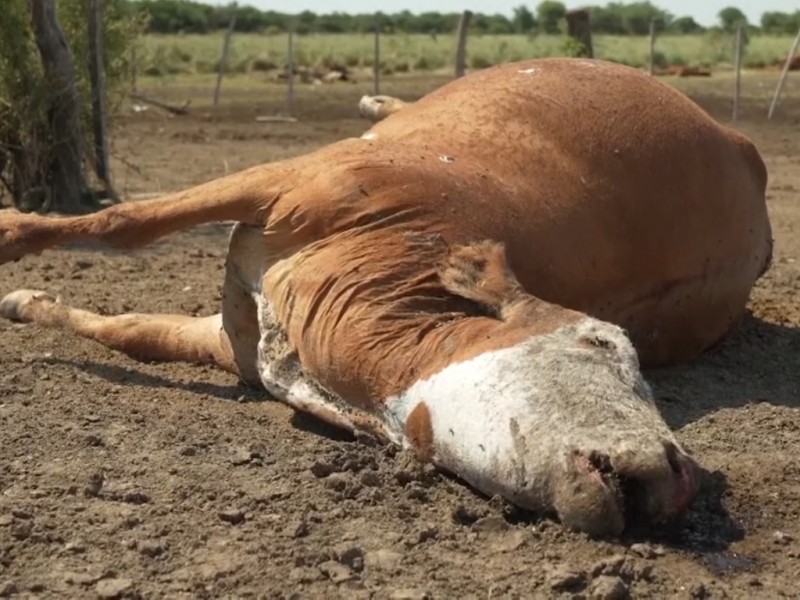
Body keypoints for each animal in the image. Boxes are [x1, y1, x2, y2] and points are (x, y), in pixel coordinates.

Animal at [1, 58, 776, 536]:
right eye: (602, 341)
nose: (680, 479)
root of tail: (745, 151)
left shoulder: (240, 342)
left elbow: (132, 324)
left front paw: (24, 297)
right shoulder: (285, 182)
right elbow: (124, 229)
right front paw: (16, 254)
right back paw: (378, 100)